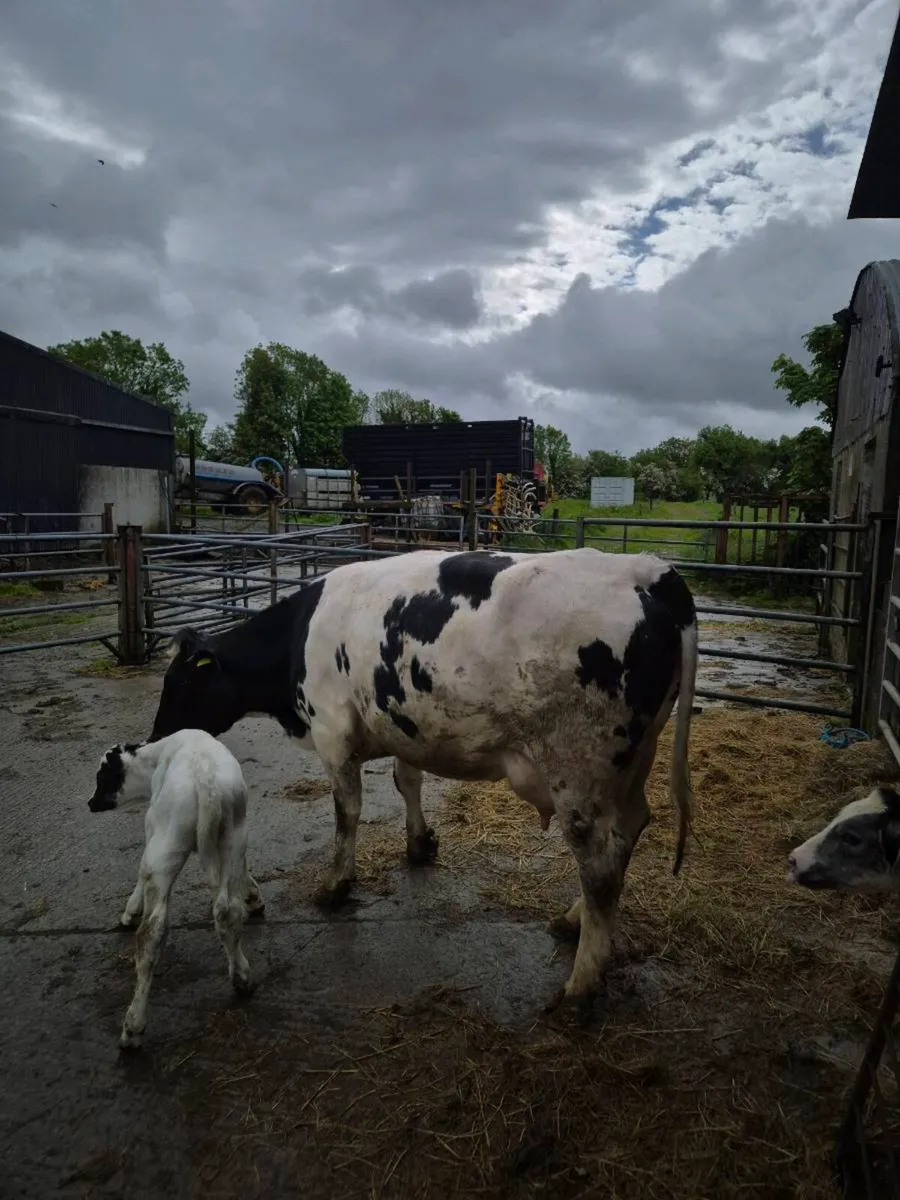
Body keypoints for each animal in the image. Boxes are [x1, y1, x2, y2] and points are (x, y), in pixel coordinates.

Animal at [147, 547, 698, 1009]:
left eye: (179, 681)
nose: (153, 740)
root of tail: (650, 571)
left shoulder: (332, 730)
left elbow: (346, 811)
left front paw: (335, 884)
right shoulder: (402, 723)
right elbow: (405, 781)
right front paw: (419, 843)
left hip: (579, 775)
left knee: (600, 863)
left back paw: (581, 985)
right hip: (632, 765)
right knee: (630, 831)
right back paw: (573, 920)